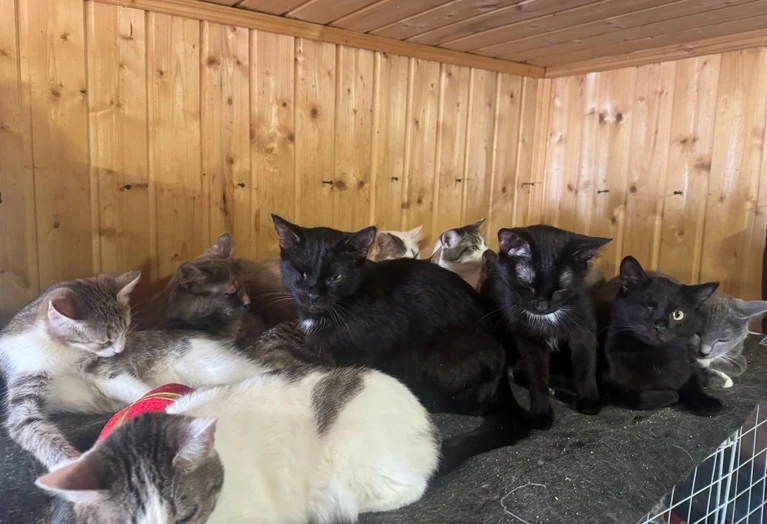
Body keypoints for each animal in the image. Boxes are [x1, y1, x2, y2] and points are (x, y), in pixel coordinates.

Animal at [0, 273, 311, 470]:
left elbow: (130, 385)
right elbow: (33, 430)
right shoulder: (22, 395)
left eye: (125, 328)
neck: (58, 353)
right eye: (105, 340)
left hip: (214, 365)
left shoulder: (100, 368)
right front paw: (69, 464)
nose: (120, 349)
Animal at [480, 225, 611, 429]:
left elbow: (585, 364)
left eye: (560, 288)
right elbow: (536, 375)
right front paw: (540, 413)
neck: (548, 319)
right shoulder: (527, 337)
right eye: (528, 284)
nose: (542, 306)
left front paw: (588, 401)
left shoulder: (584, 325)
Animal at [603, 256, 723, 415]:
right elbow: (637, 397)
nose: (659, 327)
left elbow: (691, 382)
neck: (655, 355)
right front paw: (671, 394)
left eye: (677, 314)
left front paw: (706, 402)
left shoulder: (684, 362)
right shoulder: (607, 387)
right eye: (648, 306)